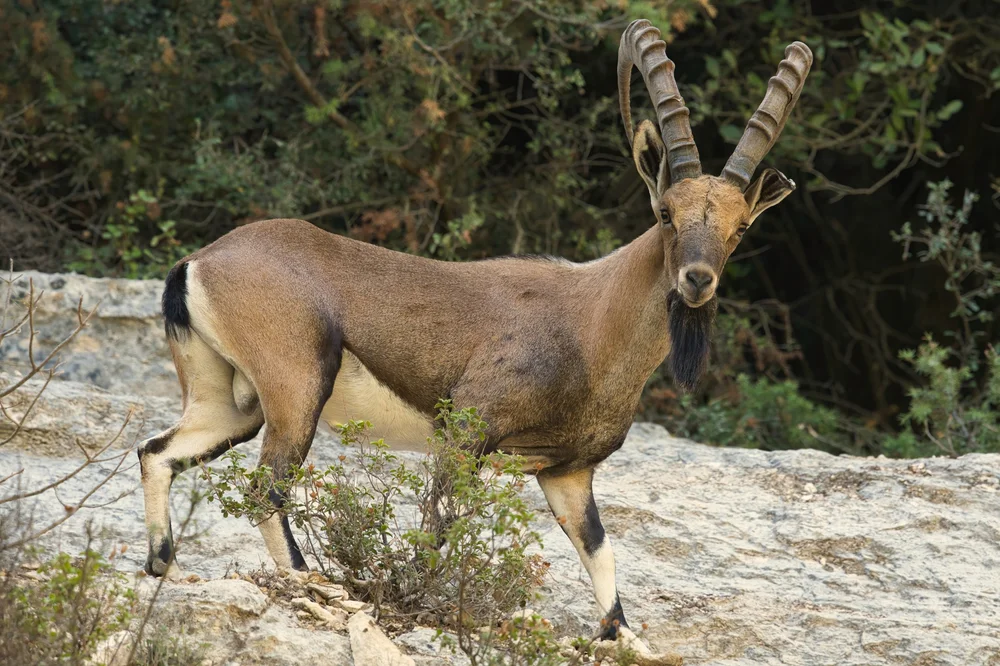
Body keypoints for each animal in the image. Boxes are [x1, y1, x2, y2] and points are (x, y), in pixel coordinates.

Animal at [137, 19, 812, 639]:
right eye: (667, 213)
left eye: (740, 226)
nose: (697, 280)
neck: (593, 324)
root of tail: (199, 262)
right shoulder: (466, 433)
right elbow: (436, 534)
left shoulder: (566, 472)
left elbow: (602, 562)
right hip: (299, 386)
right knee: (265, 489)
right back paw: (318, 590)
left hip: (232, 403)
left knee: (158, 452)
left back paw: (162, 567)